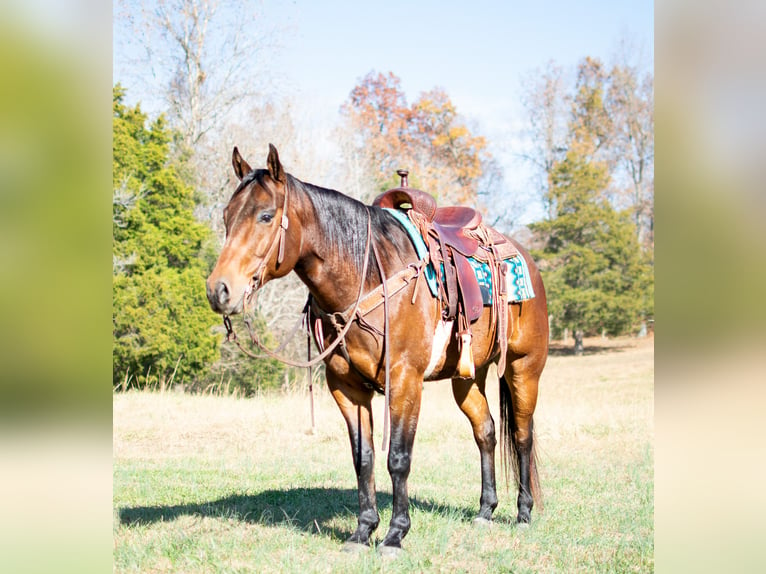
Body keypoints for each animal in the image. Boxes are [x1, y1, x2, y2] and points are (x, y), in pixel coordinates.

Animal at [206, 144, 552, 552]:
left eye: (265, 215)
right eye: (227, 216)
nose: (219, 290)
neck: (368, 273)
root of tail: (525, 258)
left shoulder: (405, 380)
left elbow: (398, 458)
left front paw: (395, 534)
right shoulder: (346, 387)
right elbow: (364, 457)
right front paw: (362, 530)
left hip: (523, 367)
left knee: (522, 434)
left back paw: (524, 513)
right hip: (466, 377)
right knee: (486, 431)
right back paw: (485, 511)